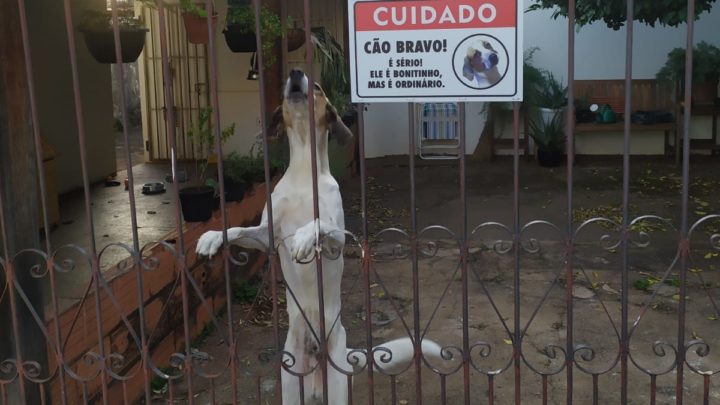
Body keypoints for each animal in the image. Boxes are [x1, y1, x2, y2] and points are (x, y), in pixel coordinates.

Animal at [197, 68, 450, 402]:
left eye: (316, 86)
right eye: (286, 83)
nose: (294, 73)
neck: (305, 170)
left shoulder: (338, 241)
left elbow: (320, 223)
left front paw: (304, 237)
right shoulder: (267, 235)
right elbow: (238, 230)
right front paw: (213, 236)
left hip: (339, 386)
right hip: (291, 385)